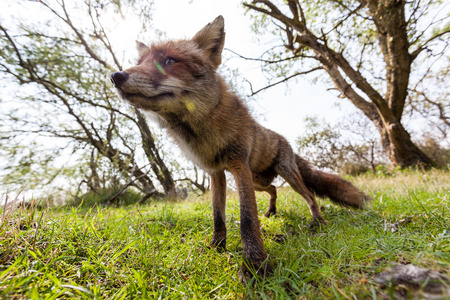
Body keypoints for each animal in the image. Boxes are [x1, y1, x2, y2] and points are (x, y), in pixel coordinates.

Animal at [110, 15, 370, 282]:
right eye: (139, 63)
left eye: (170, 61)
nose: (116, 76)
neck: (202, 130)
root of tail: (285, 140)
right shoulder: (216, 173)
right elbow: (218, 217)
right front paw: (217, 247)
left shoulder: (238, 166)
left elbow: (247, 219)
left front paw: (255, 265)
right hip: (258, 181)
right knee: (274, 189)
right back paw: (271, 212)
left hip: (284, 175)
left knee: (310, 196)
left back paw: (317, 221)